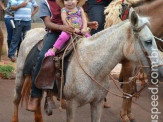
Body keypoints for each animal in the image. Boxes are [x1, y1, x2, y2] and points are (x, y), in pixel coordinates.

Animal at [11, 8, 162, 122]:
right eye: (148, 41)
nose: (160, 71)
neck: (91, 66)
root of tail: (30, 33)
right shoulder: (71, 105)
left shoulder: (97, 104)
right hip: (19, 78)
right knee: (16, 100)